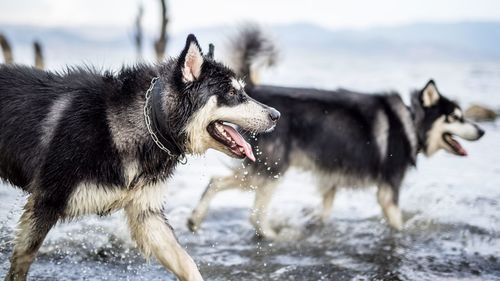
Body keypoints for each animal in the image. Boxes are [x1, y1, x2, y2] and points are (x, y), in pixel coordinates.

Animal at [0, 34, 282, 278]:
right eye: (233, 94)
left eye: (243, 91)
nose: (276, 115)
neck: (149, 121)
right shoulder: (45, 202)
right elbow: (22, 260)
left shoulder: (146, 214)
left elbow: (187, 263)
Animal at [188, 26, 484, 238]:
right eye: (456, 117)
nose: (481, 131)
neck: (412, 121)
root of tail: (257, 92)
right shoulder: (388, 191)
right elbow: (397, 222)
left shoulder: (332, 178)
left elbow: (326, 209)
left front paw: (317, 223)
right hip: (273, 169)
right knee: (250, 209)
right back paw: (271, 235)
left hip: (262, 167)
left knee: (217, 183)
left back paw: (195, 220)